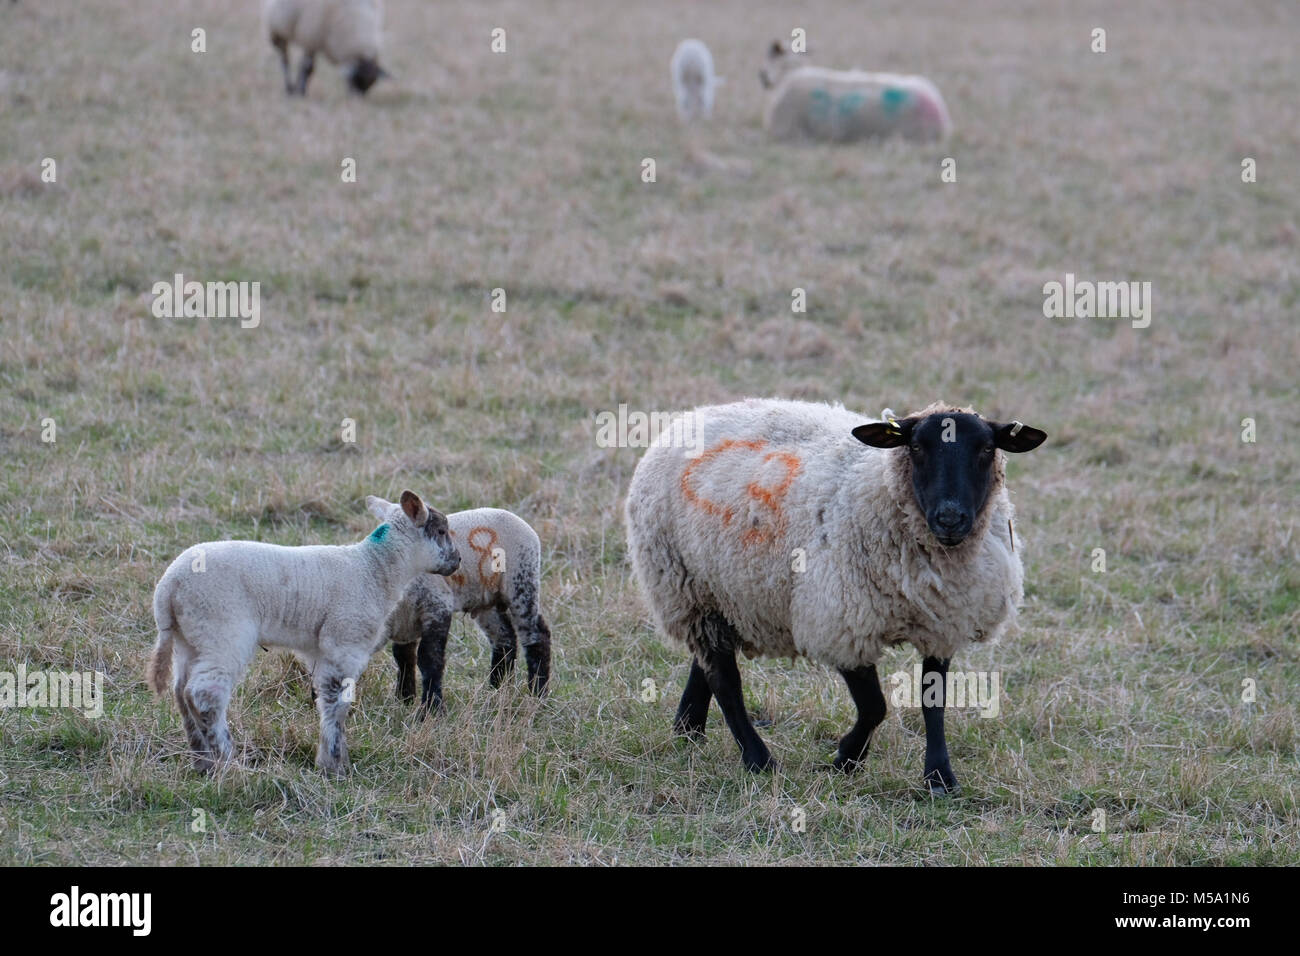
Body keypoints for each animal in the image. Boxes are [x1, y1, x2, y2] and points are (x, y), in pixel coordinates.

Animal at [148, 489, 460, 775]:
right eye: (441, 530)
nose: (457, 560)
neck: (374, 569)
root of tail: (168, 586)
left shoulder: (319, 650)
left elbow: (325, 698)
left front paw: (334, 758)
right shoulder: (344, 641)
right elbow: (337, 703)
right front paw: (334, 765)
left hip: (190, 638)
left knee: (181, 693)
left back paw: (203, 762)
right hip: (222, 630)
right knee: (205, 695)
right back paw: (228, 762)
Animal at [621, 398, 1045, 790]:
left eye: (986, 448)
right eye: (916, 447)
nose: (950, 518)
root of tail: (692, 416)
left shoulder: (942, 623)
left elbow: (933, 703)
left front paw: (939, 777)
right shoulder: (842, 621)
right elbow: (875, 707)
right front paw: (846, 759)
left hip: (722, 595)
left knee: (707, 663)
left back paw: (688, 729)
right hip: (687, 589)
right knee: (726, 681)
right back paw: (758, 759)